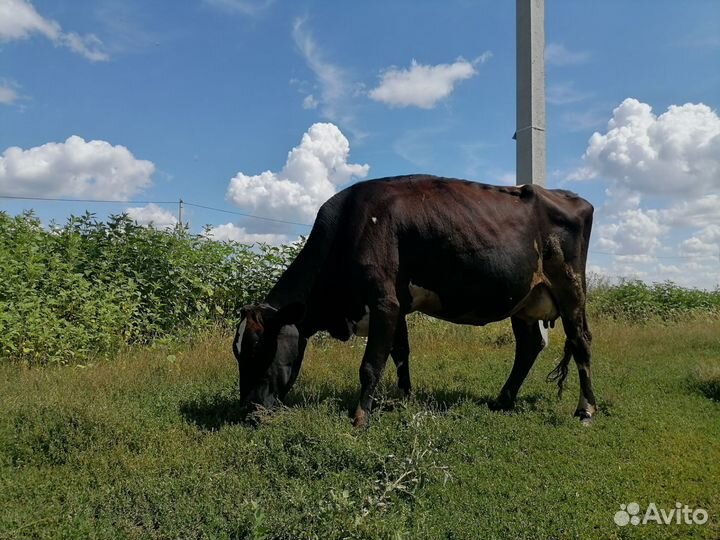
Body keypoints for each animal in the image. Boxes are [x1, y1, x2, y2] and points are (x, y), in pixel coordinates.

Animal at [233, 175, 596, 427]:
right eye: (238, 353)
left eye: (259, 350)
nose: (248, 410)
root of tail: (568, 196)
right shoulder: (398, 306)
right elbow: (400, 354)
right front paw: (404, 400)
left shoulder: (384, 302)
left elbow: (371, 365)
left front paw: (361, 418)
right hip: (523, 301)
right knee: (529, 345)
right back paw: (503, 400)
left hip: (570, 287)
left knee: (580, 341)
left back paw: (586, 409)